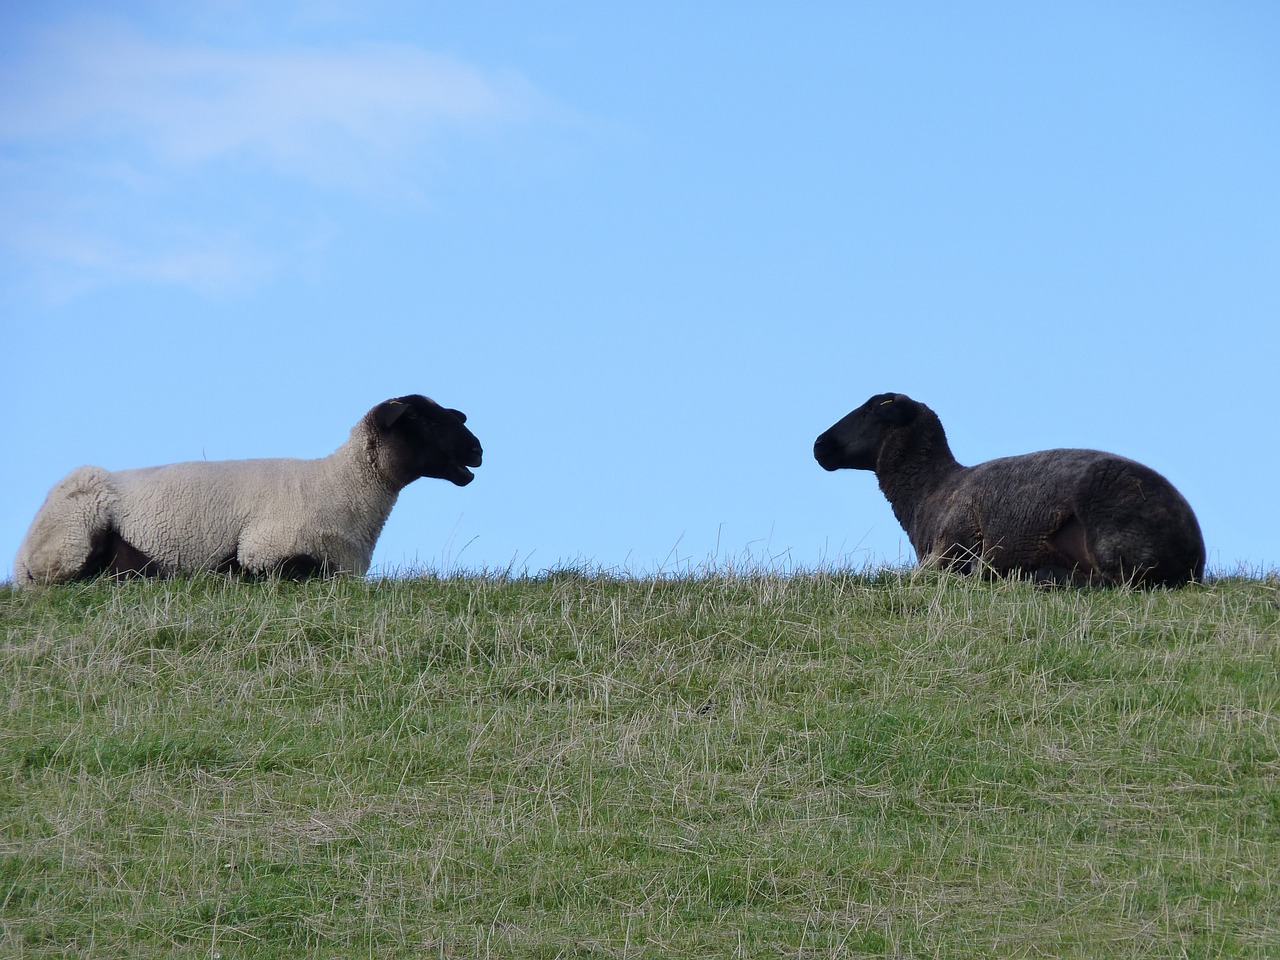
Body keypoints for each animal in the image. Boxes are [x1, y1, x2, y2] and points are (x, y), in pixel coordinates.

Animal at [13, 394, 483, 585]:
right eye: (421, 421)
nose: (478, 450)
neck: (342, 486)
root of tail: (20, 561)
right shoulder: (267, 550)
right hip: (74, 532)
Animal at [813, 392, 1205, 587]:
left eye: (871, 408)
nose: (818, 445)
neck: (930, 490)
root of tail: (1193, 556)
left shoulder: (950, 547)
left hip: (1111, 524)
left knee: (1114, 580)